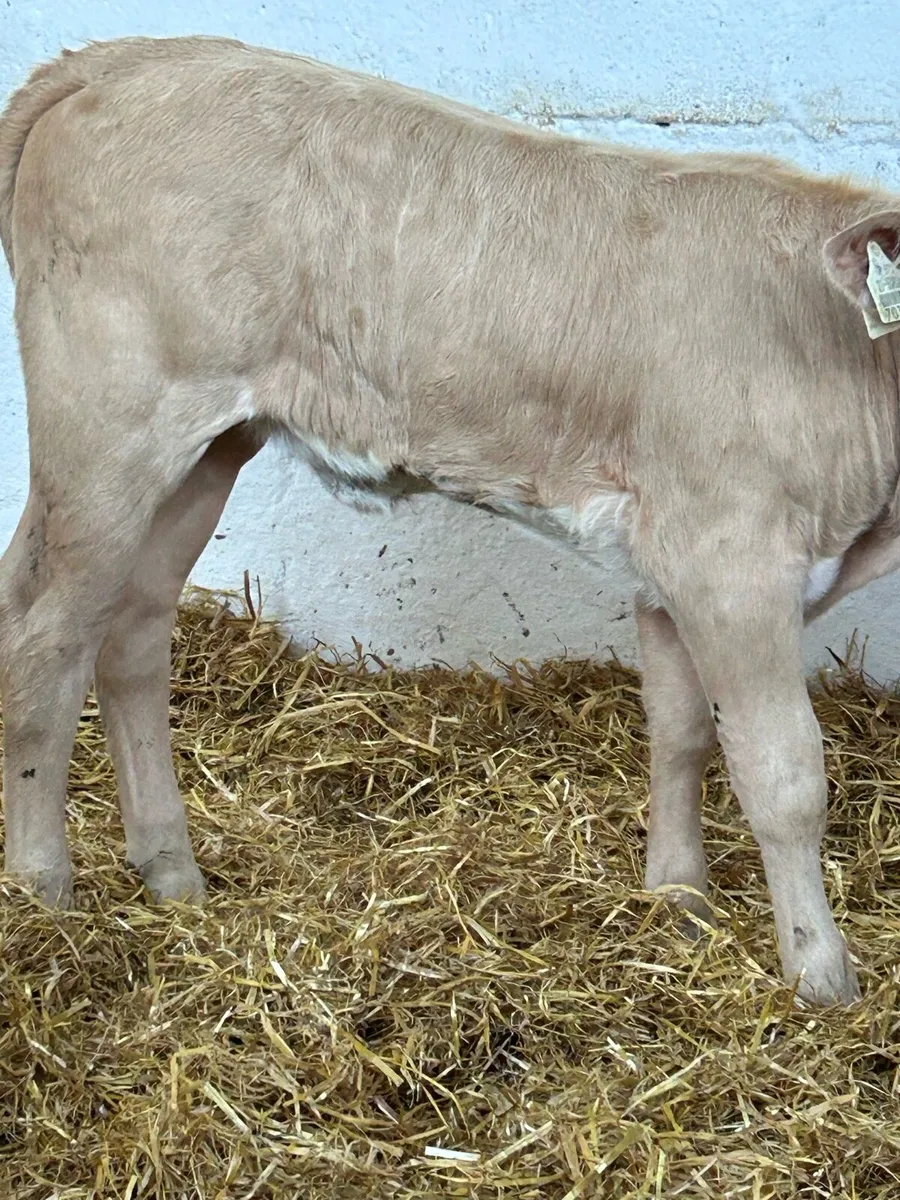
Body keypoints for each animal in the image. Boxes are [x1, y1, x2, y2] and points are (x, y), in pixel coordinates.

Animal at [1, 35, 898, 1007]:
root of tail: (127, 56)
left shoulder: (666, 571)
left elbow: (683, 734)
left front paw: (676, 903)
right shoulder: (728, 561)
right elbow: (783, 773)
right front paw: (822, 976)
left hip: (207, 446)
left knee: (131, 630)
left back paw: (171, 873)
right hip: (108, 429)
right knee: (45, 642)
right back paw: (44, 894)